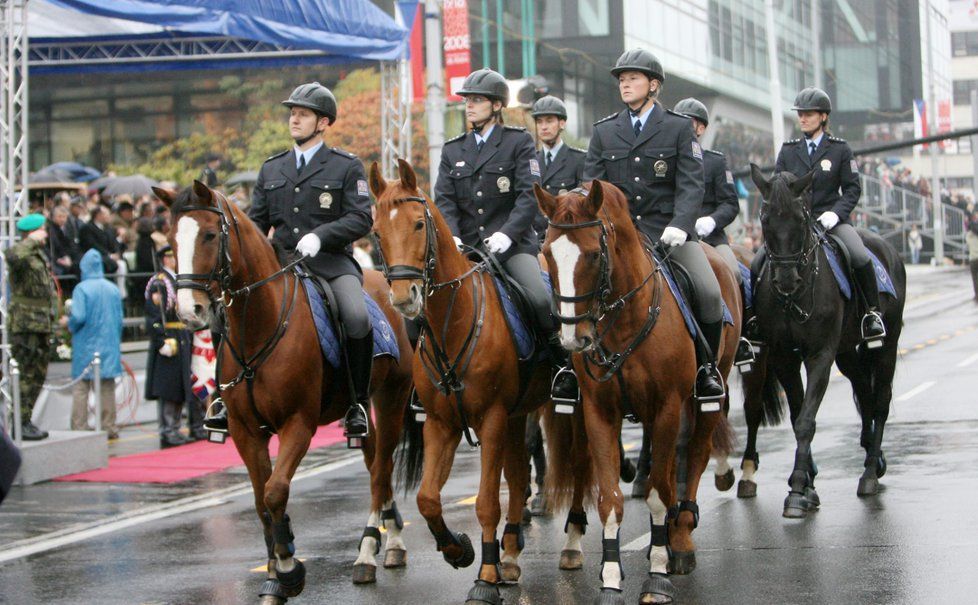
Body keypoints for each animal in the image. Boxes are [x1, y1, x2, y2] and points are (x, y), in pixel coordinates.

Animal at [155, 182, 416, 600]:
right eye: (171, 239)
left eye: (210, 235)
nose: (189, 311)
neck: (260, 323)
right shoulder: (246, 431)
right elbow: (261, 500)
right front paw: (274, 572)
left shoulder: (299, 424)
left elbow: (275, 491)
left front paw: (290, 569)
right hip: (364, 405)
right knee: (376, 459)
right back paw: (388, 539)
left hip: (391, 398)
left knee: (381, 468)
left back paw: (370, 552)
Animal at [364, 160, 580, 604]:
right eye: (376, 231)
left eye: (417, 225)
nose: (404, 297)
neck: (455, 318)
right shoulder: (442, 423)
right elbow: (429, 498)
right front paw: (457, 549)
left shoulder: (492, 419)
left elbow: (485, 503)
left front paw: (485, 576)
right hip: (518, 415)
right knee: (518, 479)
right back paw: (511, 553)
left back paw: (570, 546)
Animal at [536, 180, 736, 604]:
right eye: (546, 253)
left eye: (594, 253)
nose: (573, 338)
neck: (625, 318)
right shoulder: (599, 411)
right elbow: (610, 498)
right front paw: (611, 580)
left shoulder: (667, 407)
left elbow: (660, 493)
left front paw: (657, 575)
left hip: (706, 396)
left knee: (694, 456)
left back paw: (681, 539)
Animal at [748, 163, 908, 516]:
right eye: (765, 219)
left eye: (802, 218)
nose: (787, 280)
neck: (793, 300)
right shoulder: (784, 358)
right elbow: (798, 416)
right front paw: (808, 486)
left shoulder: (820, 355)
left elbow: (806, 421)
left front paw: (797, 489)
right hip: (847, 354)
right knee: (865, 392)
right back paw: (873, 457)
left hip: (886, 347)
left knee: (880, 402)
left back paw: (869, 474)